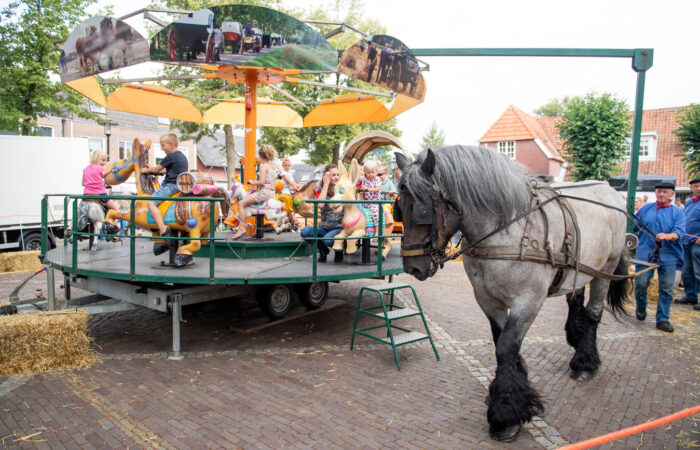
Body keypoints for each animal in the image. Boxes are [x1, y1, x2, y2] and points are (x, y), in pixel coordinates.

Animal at [396, 146, 632, 442]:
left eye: (424, 208)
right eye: (399, 207)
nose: (412, 267)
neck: (507, 232)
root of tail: (609, 189)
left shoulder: (528, 301)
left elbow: (507, 346)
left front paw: (506, 414)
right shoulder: (487, 300)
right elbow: (501, 342)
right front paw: (514, 394)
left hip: (606, 270)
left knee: (594, 313)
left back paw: (585, 363)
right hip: (580, 268)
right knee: (575, 296)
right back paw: (576, 338)